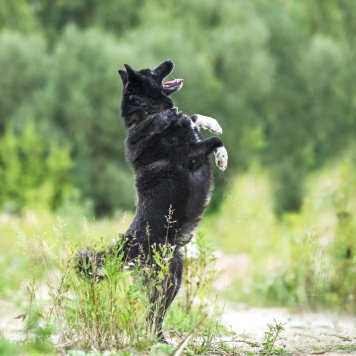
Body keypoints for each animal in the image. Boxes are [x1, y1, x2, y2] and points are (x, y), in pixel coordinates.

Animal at [77, 59, 228, 344]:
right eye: (150, 71)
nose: (169, 61)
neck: (150, 115)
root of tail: (127, 245)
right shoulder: (190, 156)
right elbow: (215, 141)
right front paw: (222, 156)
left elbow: (194, 118)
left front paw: (213, 123)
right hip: (161, 280)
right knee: (151, 313)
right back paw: (157, 343)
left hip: (174, 278)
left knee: (155, 314)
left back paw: (162, 341)